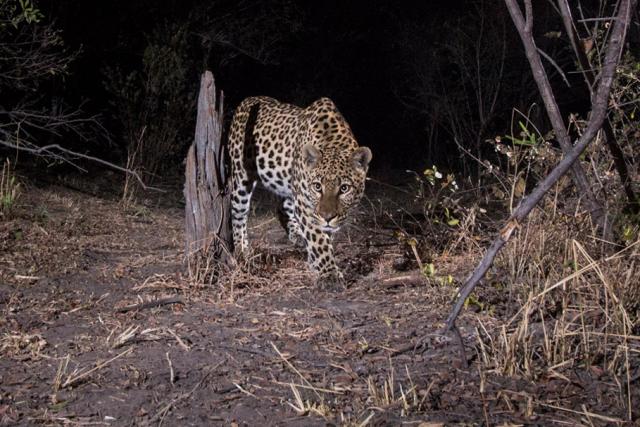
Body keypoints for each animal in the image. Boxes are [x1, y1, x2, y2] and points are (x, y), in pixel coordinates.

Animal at [227, 96, 372, 290]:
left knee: (282, 206)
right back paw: (242, 251)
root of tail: (248, 99)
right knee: (238, 214)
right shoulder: (307, 207)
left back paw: (296, 234)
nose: (327, 217)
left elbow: (324, 237)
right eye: (317, 187)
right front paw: (330, 275)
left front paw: (318, 264)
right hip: (241, 176)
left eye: (344, 188)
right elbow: (319, 241)